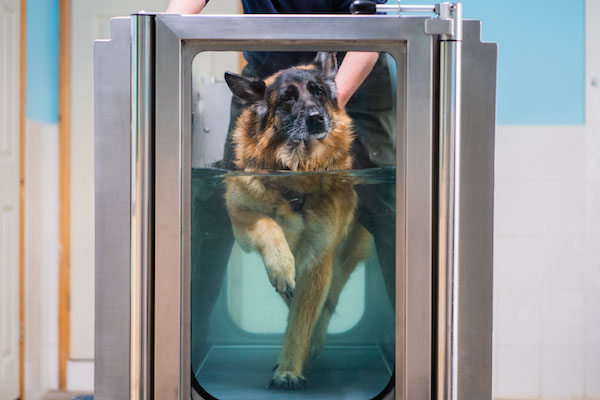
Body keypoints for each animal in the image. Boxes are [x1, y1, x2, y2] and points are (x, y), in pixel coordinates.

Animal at [224, 51, 370, 390]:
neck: (296, 170)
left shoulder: (319, 259)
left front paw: (289, 369)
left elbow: (303, 320)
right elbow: (268, 226)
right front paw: (280, 267)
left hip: (344, 258)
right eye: (287, 99)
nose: (317, 118)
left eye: (318, 91)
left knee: (329, 300)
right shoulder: (242, 218)